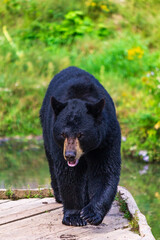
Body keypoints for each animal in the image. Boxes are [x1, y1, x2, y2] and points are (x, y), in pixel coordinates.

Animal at [40, 66, 121, 226]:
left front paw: (91, 214)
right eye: (63, 134)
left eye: (80, 134)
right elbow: (69, 174)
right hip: (46, 130)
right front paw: (74, 216)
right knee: (52, 163)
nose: (70, 155)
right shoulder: (58, 143)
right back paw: (59, 196)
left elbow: (105, 170)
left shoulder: (107, 138)